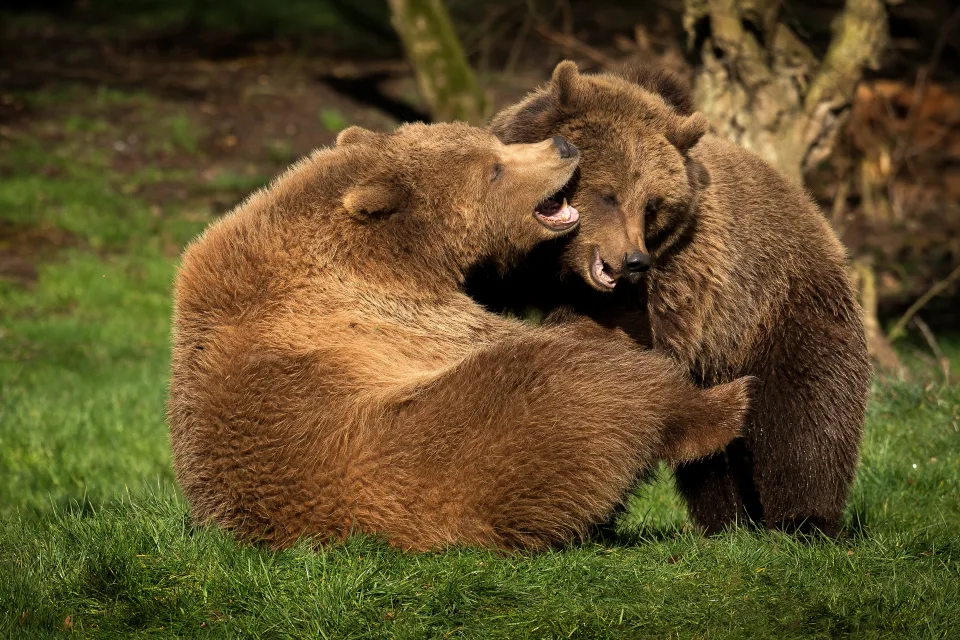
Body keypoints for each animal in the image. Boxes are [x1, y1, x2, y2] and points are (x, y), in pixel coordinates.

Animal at [167, 121, 754, 551]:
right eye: (494, 170)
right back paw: (726, 403)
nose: (564, 146)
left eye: (493, 141)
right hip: (458, 444)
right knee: (584, 384)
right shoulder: (400, 319)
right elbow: (514, 336)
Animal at [483, 61, 872, 537]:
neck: (556, 266)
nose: (633, 260)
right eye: (608, 194)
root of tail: (819, 219)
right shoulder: (507, 259)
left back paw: (803, 520)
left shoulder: (676, 280)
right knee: (712, 456)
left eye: (652, 203)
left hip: (782, 312)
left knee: (806, 421)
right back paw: (728, 522)